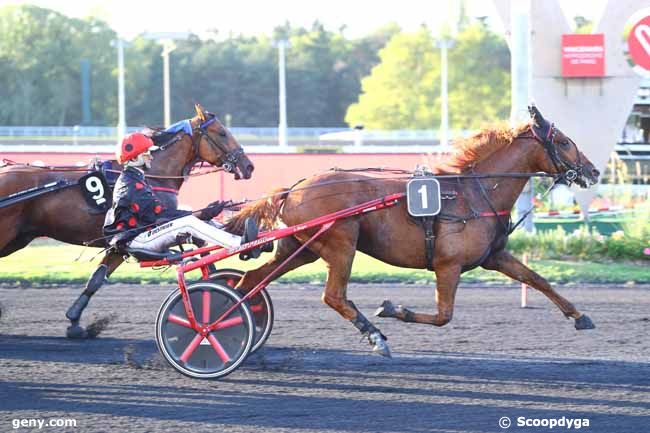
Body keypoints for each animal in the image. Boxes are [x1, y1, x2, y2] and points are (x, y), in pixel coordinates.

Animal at [0, 104, 252, 338]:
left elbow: (96, 279)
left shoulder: (119, 245)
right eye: (222, 133)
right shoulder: (144, 229)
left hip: (18, 239)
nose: (248, 166)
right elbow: (196, 241)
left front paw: (74, 322)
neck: (152, 174)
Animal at [144, 107, 600, 378]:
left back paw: (226, 326)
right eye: (563, 141)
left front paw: (580, 316)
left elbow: (537, 279)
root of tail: (296, 187)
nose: (593, 171)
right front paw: (392, 309)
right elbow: (443, 316)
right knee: (332, 296)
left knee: (248, 283)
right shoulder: (448, 266)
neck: (474, 193)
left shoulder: (495, 257)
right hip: (340, 245)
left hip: (301, 248)